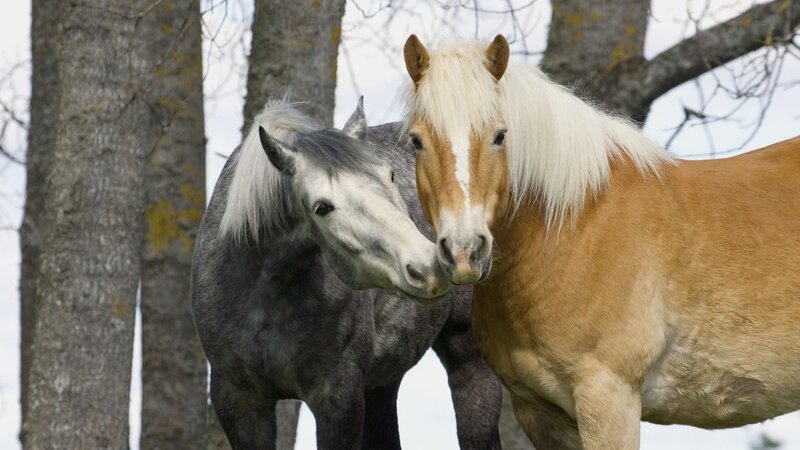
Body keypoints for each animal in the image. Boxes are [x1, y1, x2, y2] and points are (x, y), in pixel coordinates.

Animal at [191, 97, 502, 450]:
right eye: (322, 207)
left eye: (390, 176)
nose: (428, 267)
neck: (264, 294)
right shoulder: (239, 401)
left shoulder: (338, 399)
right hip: (382, 382)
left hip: (470, 361)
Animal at [401, 34, 800, 449]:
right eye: (416, 141)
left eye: (499, 136)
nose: (464, 251)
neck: (574, 228)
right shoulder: (540, 413)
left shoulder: (608, 398)